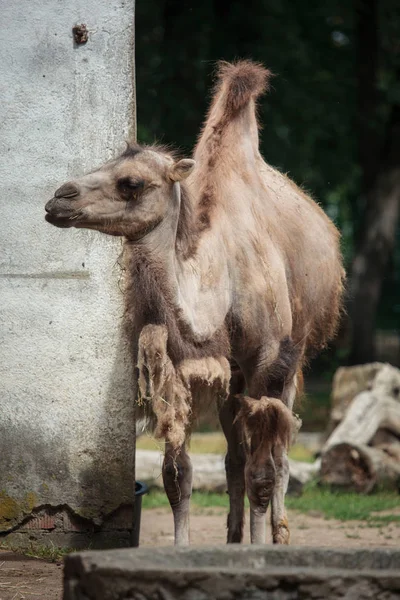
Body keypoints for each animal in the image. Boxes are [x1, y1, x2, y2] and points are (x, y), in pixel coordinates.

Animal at [43, 62, 344, 548]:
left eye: (131, 183)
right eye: (104, 163)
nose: (58, 199)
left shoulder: (268, 358)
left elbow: (263, 471)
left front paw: (258, 548)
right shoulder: (181, 365)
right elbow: (177, 476)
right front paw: (183, 547)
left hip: (292, 355)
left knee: (280, 446)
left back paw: (277, 533)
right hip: (235, 376)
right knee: (234, 456)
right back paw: (234, 535)